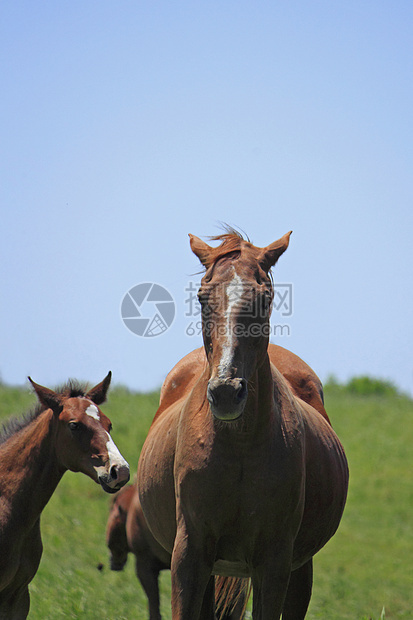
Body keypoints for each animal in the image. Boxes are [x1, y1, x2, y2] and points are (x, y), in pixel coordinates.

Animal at [138, 230, 348, 616]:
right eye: (202, 297)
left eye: (265, 297)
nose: (226, 392)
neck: (238, 448)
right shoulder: (189, 556)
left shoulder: (274, 562)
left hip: (300, 570)